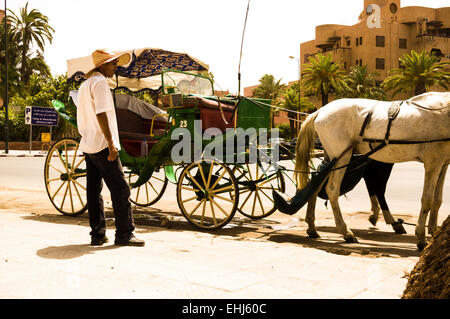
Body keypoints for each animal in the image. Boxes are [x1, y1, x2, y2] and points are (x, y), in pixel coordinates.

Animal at [294, 91, 448, 251]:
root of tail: (320, 111)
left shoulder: (443, 164)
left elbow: (437, 200)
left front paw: (434, 231)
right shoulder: (432, 163)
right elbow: (427, 200)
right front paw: (421, 237)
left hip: (332, 158)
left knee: (316, 185)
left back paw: (312, 227)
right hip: (343, 157)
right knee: (332, 189)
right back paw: (345, 231)